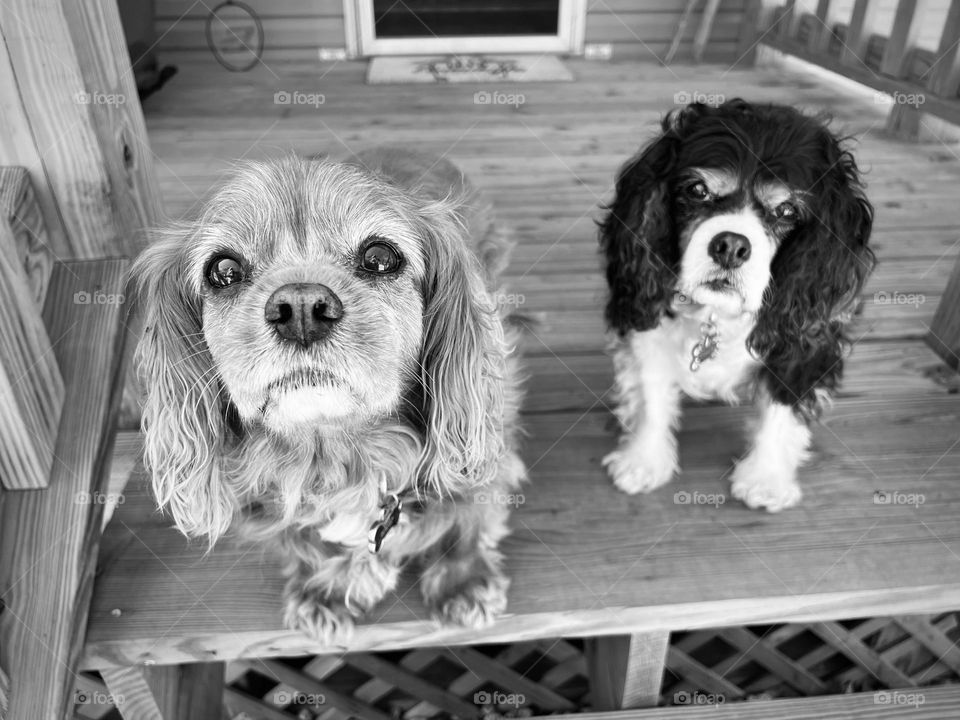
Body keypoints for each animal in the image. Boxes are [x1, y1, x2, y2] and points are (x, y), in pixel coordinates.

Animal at [604, 98, 872, 512]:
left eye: (787, 211)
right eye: (697, 190)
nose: (730, 245)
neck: (716, 315)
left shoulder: (803, 344)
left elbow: (781, 406)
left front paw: (766, 478)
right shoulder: (649, 331)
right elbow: (650, 397)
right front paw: (643, 461)